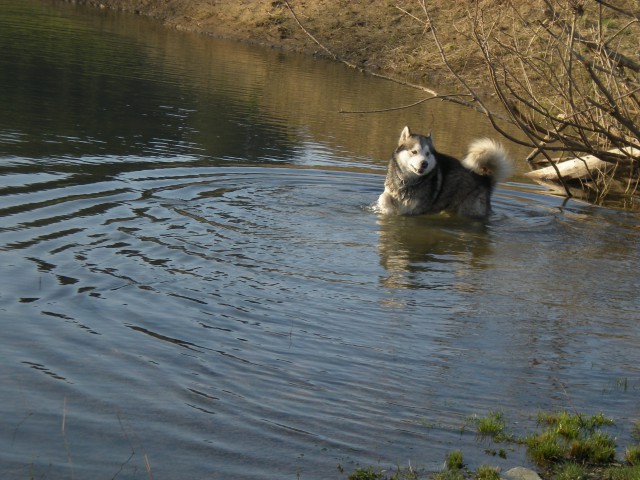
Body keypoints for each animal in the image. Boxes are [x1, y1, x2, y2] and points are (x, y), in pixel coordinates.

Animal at [378, 127, 512, 218]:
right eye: (414, 152)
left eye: (428, 154)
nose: (424, 163)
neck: (407, 181)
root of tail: (484, 178)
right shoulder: (390, 191)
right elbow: (383, 197)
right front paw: (387, 210)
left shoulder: (413, 210)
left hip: (469, 209)